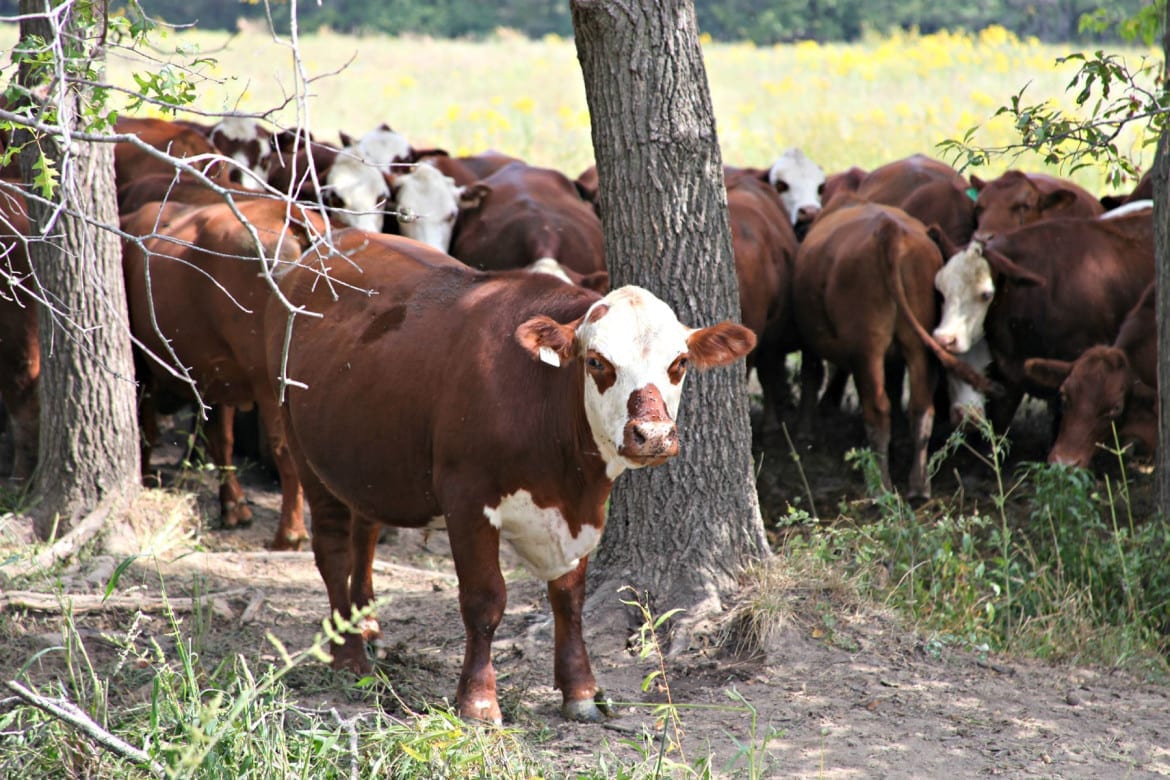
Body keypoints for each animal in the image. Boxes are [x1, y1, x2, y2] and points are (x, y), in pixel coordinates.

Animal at [122, 198, 330, 550]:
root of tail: (290, 217)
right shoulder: (218, 379)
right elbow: (222, 440)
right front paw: (233, 506)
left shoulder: (144, 368)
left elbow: (147, 430)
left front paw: (146, 478)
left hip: (273, 386)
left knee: (288, 453)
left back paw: (289, 533)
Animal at [265, 229, 756, 723]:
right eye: (597, 361)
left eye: (680, 363)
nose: (652, 434)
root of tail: (335, 240)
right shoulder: (467, 498)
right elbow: (485, 600)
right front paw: (478, 701)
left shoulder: (580, 513)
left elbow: (568, 599)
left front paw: (580, 689)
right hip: (303, 445)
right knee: (333, 551)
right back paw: (347, 653)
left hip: (365, 458)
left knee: (364, 533)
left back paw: (366, 627)